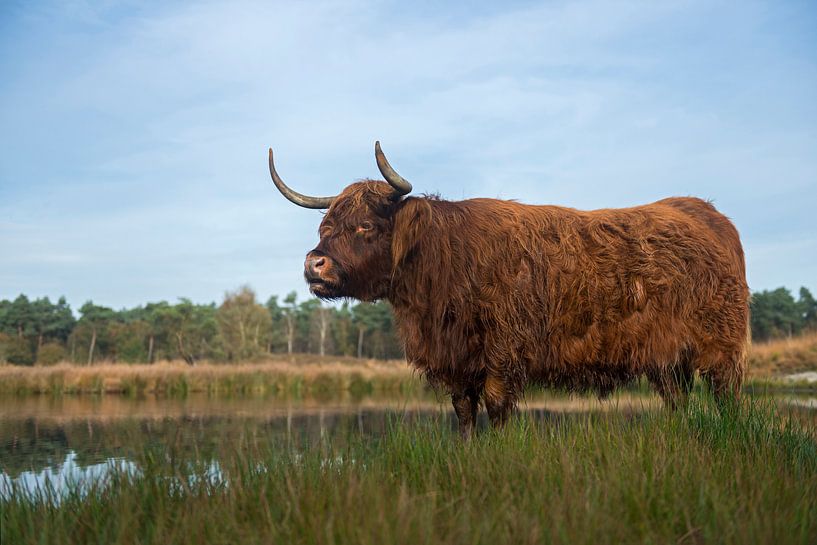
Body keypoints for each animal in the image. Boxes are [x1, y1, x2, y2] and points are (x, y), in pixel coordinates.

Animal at [268, 142, 750, 438]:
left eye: (365, 226)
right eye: (325, 227)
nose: (314, 264)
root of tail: (707, 213)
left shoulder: (504, 351)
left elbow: (497, 408)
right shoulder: (456, 358)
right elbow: (463, 411)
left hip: (720, 344)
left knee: (727, 396)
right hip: (665, 357)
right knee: (678, 400)